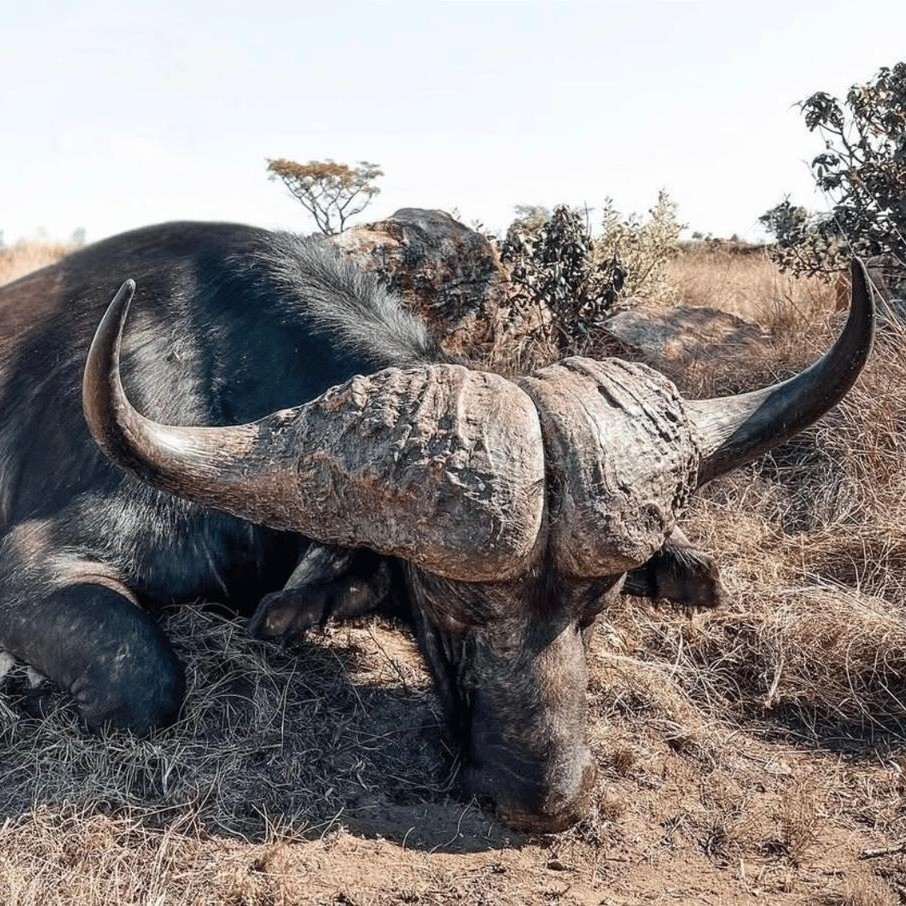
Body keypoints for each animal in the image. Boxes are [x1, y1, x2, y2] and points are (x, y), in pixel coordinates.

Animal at [0, 221, 873, 831]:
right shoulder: (36, 564)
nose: (546, 801)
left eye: (601, 604)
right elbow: (144, 678)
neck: (221, 375)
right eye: (448, 605)